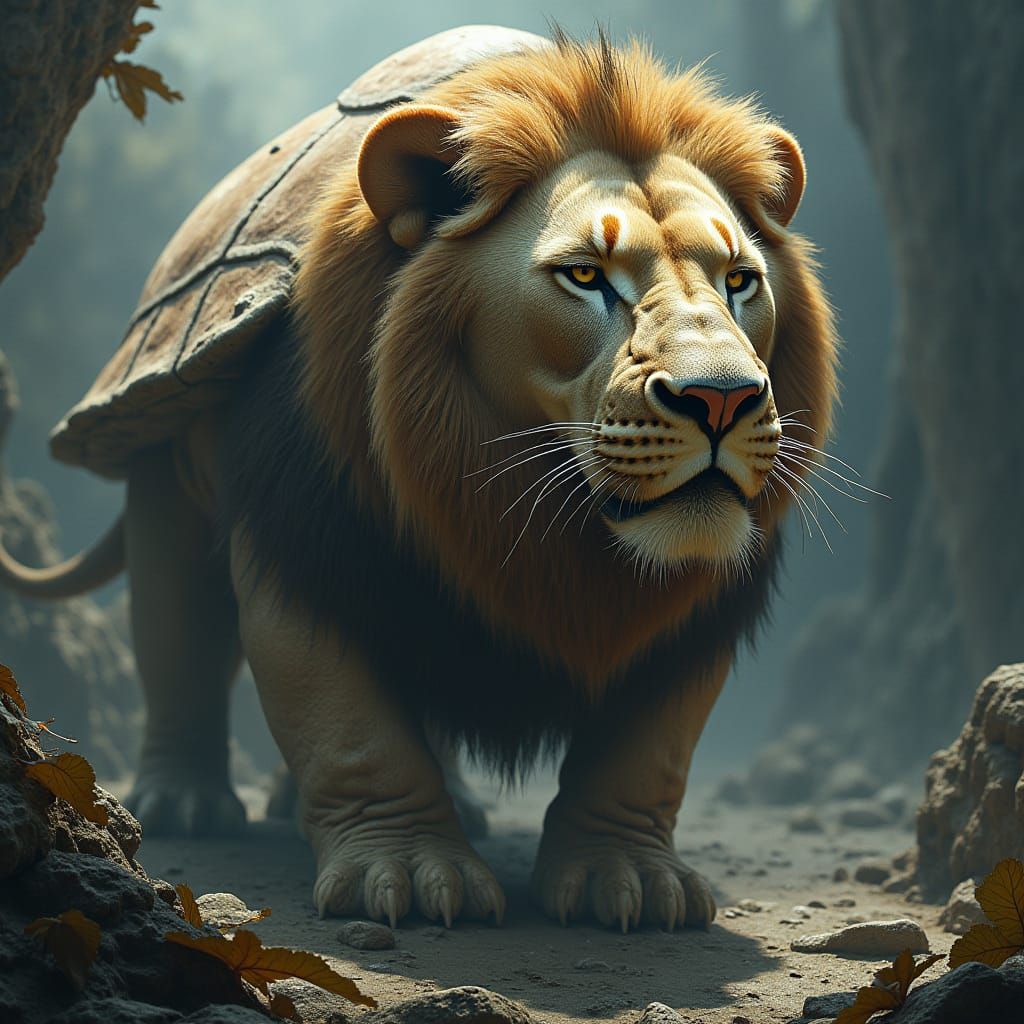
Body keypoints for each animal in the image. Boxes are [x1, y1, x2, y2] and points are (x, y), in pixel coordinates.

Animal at [0, 29, 837, 931]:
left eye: (739, 280)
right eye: (585, 276)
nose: (721, 397)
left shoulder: (698, 614)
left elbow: (651, 750)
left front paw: (632, 879)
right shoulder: (305, 534)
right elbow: (347, 721)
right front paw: (405, 872)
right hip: (162, 446)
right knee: (175, 631)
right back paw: (185, 802)